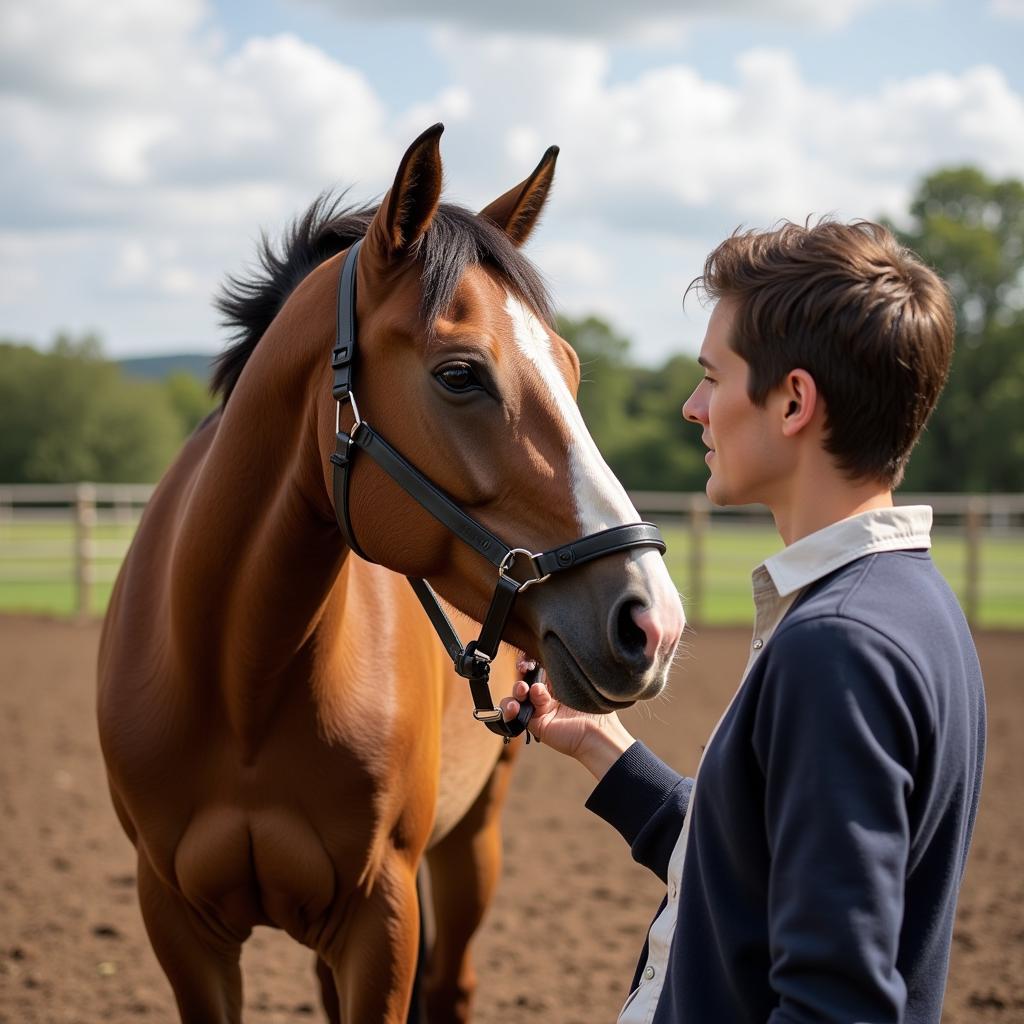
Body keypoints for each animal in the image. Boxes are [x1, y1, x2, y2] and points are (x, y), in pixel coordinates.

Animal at [97, 125, 688, 1024]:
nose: (651, 620)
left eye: (571, 369)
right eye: (459, 373)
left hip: (473, 839)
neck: (239, 684)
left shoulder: (382, 916)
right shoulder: (179, 921)